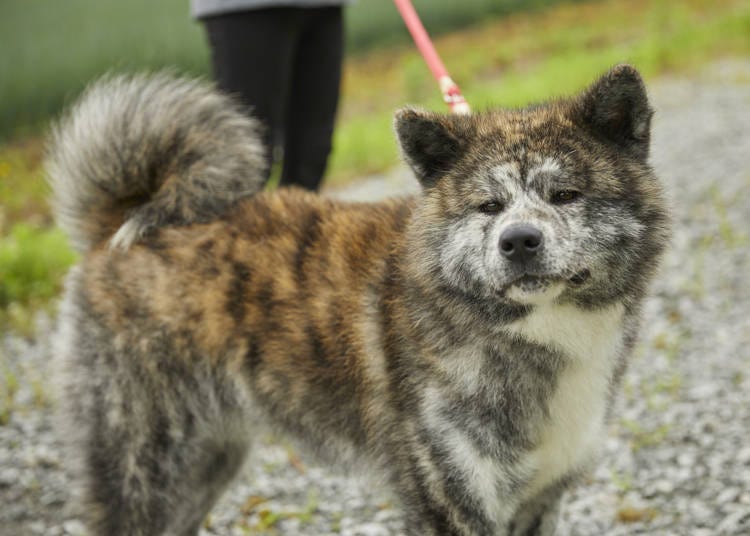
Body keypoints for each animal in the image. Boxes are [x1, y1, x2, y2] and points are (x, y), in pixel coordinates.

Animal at [47, 65, 668, 532]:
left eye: (565, 194)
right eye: (488, 206)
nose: (518, 241)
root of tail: (122, 223)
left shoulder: (539, 498)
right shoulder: (448, 497)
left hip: (206, 461)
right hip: (139, 465)